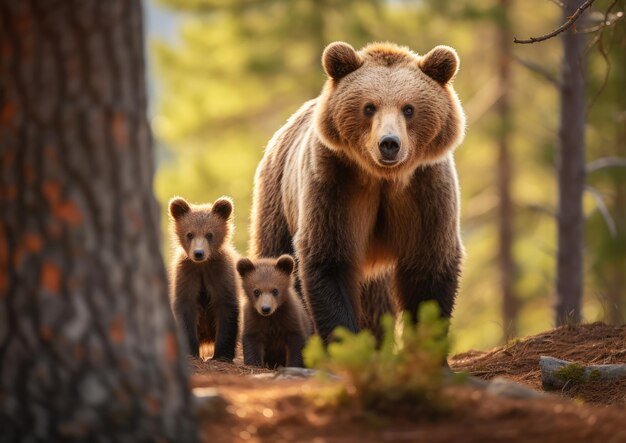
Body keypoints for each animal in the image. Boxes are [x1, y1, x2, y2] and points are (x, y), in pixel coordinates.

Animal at [249, 40, 464, 344]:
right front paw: (345, 342)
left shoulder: (425, 189)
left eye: (408, 108)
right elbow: (329, 258)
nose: (389, 143)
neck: (383, 178)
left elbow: (429, 266)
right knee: (276, 259)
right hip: (278, 201)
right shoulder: (335, 184)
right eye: (369, 107)